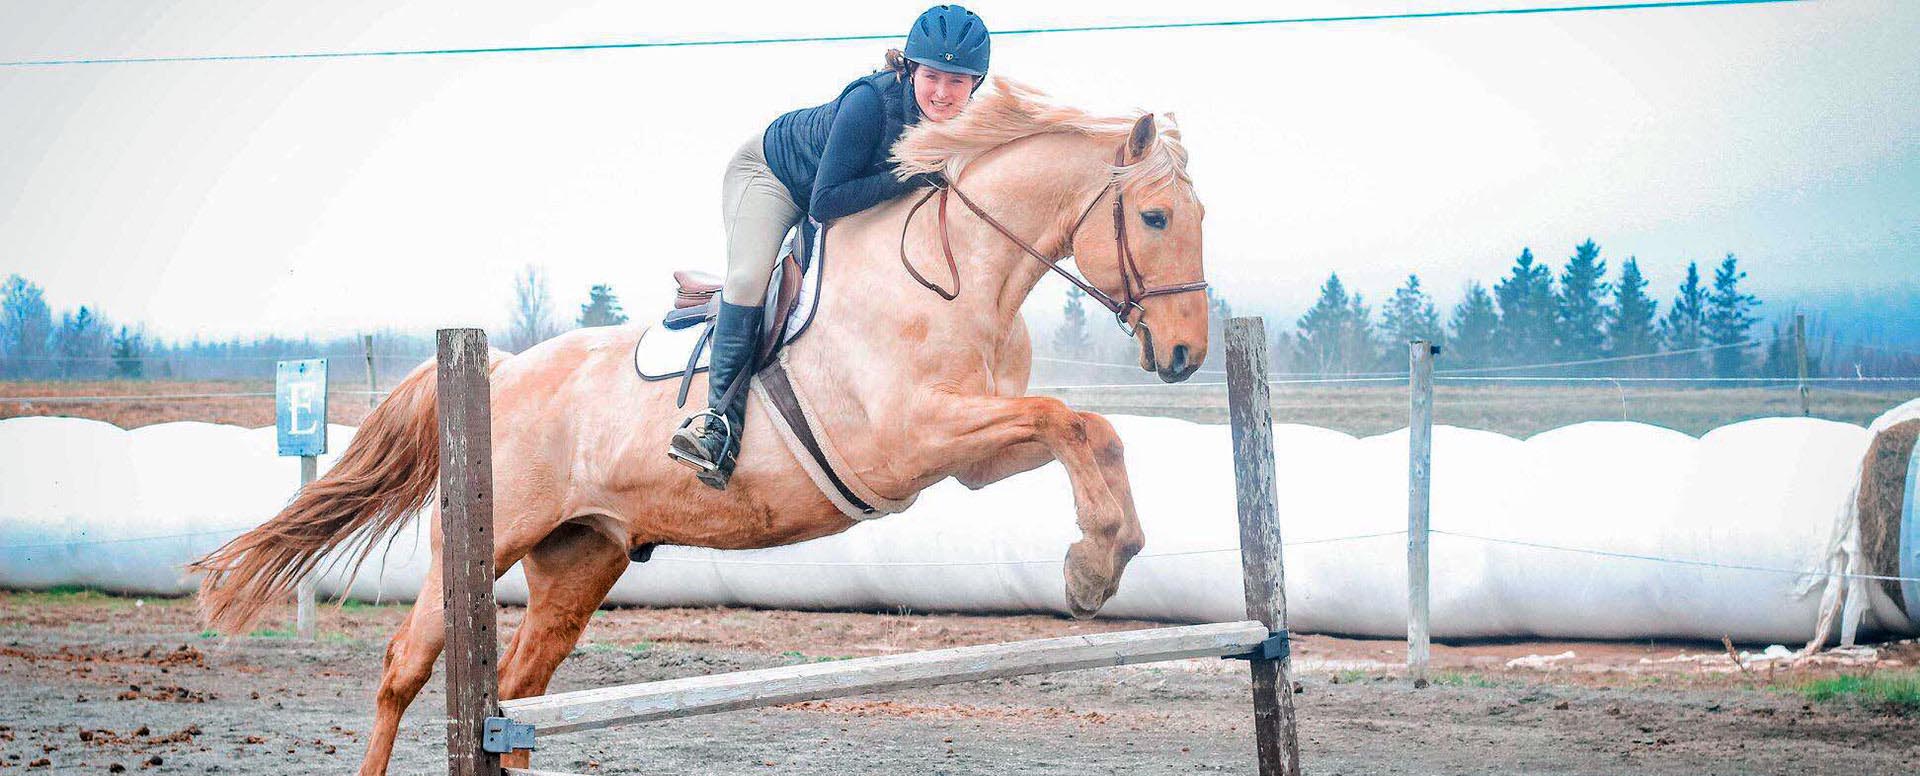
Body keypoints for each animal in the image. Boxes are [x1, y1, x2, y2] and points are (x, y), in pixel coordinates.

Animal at [198, 75, 1213, 772]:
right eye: (1157, 216)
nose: (1186, 355)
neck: (958, 271)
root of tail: (499, 367)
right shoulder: (913, 435)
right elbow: (1069, 419)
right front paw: (1092, 566)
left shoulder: (971, 451)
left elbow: (1088, 428)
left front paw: (1101, 559)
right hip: (481, 542)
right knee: (405, 667)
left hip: (580, 556)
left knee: (516, 697)